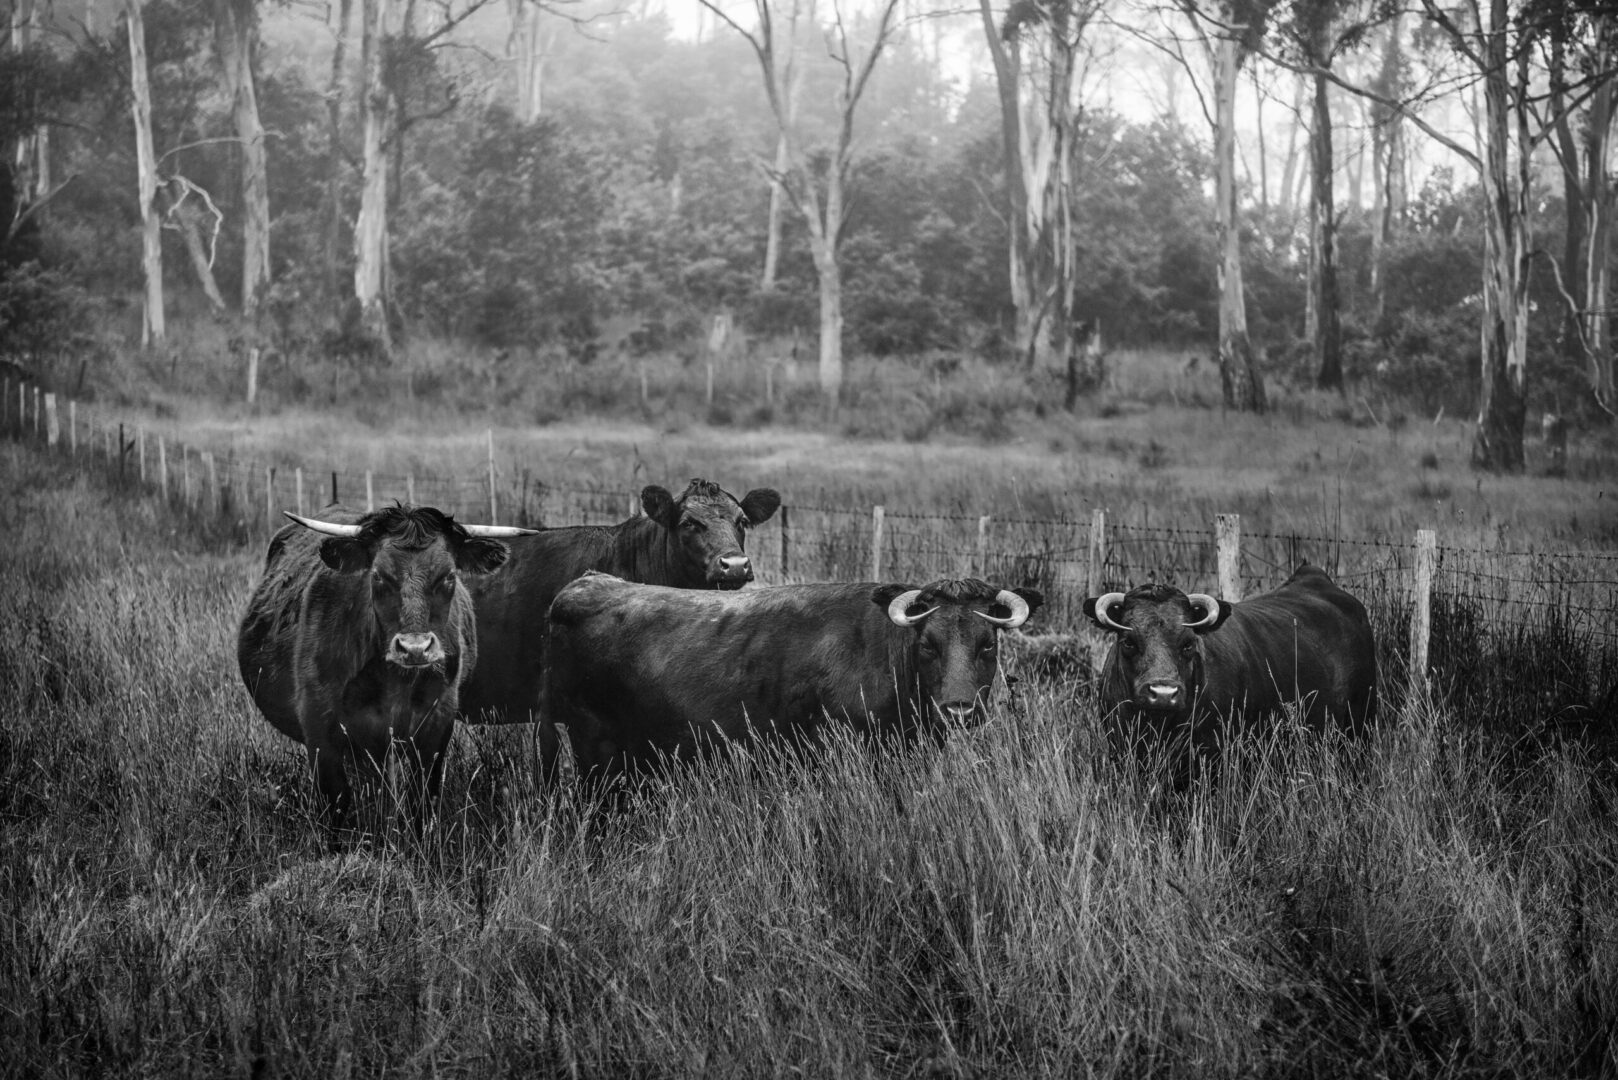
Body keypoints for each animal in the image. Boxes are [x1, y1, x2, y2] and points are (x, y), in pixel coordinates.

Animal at [236, 501, 533, 835]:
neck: (395, 683)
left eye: (448, 576)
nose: (415, 647)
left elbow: (423, 798)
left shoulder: (437, 725)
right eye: (378, 576)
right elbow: (335, 800)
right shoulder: (319, 727)